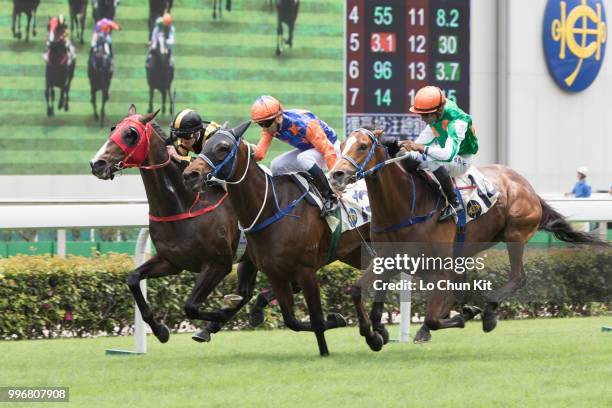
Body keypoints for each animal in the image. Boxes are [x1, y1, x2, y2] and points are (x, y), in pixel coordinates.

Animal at [89, 105, 270, 344]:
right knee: (247, 291)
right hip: (249, 259)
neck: (184, 203)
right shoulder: (171, 261)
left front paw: (220, 315)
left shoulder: (218, 264)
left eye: (131, 134)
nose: (96, 163)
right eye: (113, 128)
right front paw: (160, 330)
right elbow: (133, 279)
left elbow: (190, 306)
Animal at [182, 122, 372, 356]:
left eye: (223, 147)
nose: (190, 174)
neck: (274, 208)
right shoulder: (274, 273)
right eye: (206, 143)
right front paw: (337, 319)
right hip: (355, 252)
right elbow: (291, 320)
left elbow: (316, 319)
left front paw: (326, 348)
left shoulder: (305, 270)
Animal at [328, 128, 604, 350]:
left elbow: (432, 317)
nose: (336, 174)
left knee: (518, 277)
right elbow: (357, 289)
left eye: (363, 146)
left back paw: (489, 314)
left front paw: (463, 316)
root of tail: (528, 187)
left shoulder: (437, 267)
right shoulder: (389, 260)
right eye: (342, 144)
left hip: (515, 235)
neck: (405, 205)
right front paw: (372, 334)